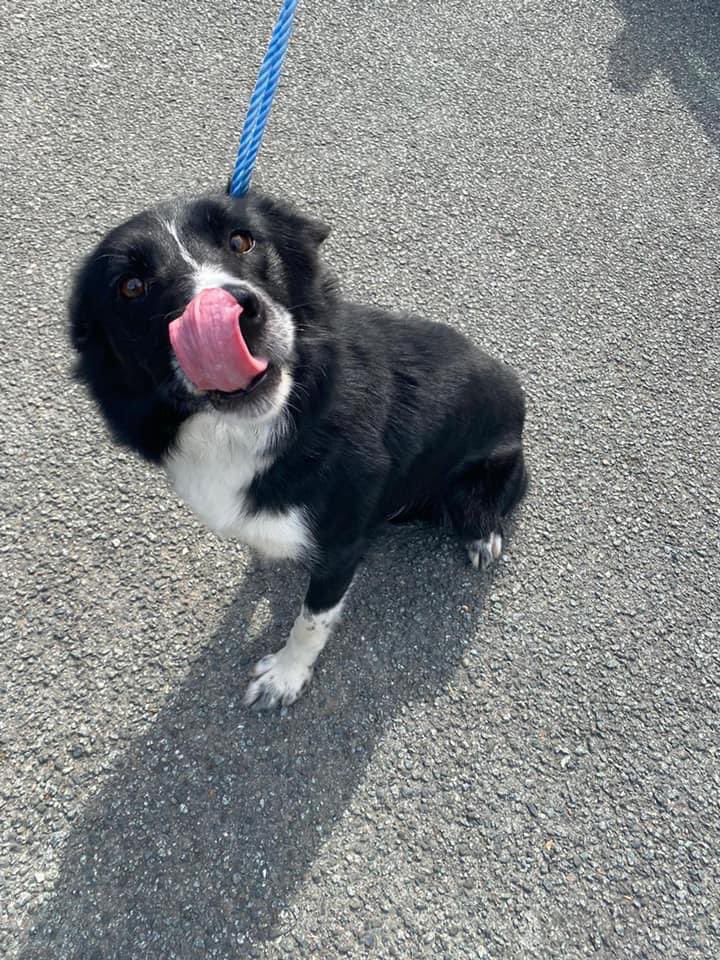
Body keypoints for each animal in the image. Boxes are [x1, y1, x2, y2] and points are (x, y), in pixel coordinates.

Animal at [69, 191, 528, 708]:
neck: (270, 423)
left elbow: (310, 622)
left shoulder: (340, 548)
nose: (233, 312)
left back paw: (483, 536)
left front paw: (284, 678)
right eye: (130, 287)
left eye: (242, 240)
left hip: (482, 480)